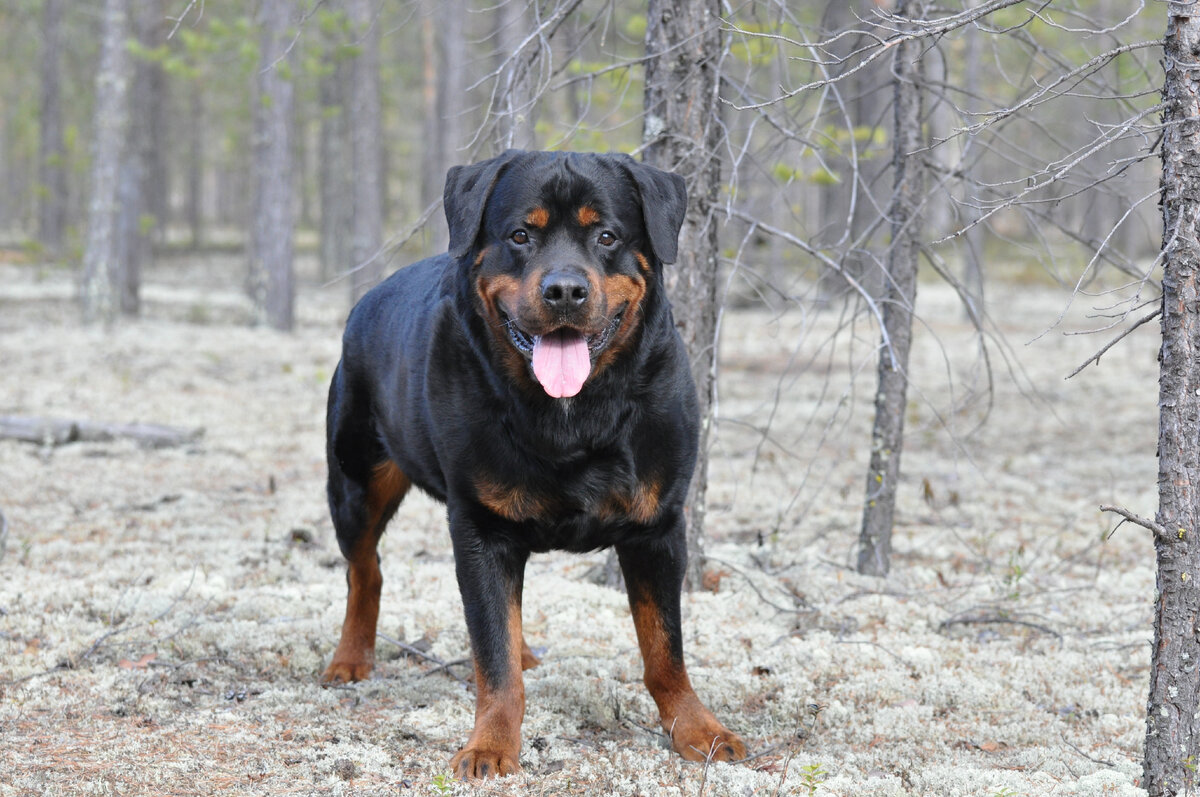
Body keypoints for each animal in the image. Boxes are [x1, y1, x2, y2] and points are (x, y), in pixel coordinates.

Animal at [324, 149, 744, 777]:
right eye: (520, 235)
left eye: (607, 236)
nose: (564, 289)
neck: (574, 413)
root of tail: (368, 298)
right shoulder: (480, 527)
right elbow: (492, 657)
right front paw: (491, 744)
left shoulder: (658, 526)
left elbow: (665, 647)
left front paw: (698, 728)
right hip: (355, 479)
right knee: (365, 569)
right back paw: (351, 658)